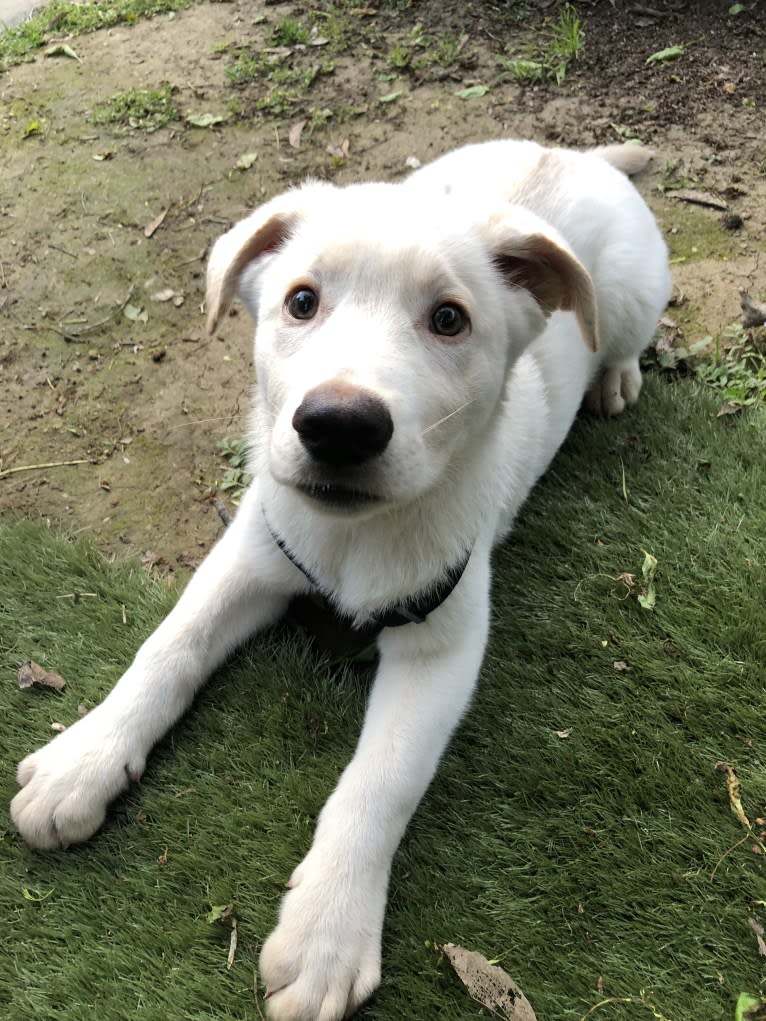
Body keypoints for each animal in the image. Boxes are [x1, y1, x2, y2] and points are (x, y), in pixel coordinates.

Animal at [12, 141, 669, 1021]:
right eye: (301, 302)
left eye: (450, 319)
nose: (338, 426)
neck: (353, 536)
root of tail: (572, 153)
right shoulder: (253, 546)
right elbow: (169, 645)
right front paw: (83, 758)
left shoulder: (442, 642)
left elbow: (379, 779)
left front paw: (327, 934)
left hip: (629, 292)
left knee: (621, 335)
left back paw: (615, 378)